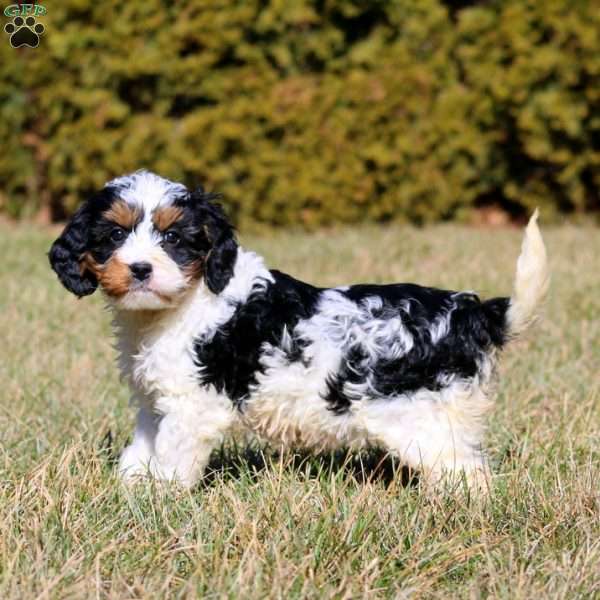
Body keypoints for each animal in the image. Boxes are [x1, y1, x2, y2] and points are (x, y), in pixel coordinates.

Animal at [49, 171, 552, 490]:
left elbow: (172, 459)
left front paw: (160, 499)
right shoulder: (155, 403)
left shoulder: (193, 407)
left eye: (173, 238)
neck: (189, 298)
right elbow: (142, 450)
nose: (140, 269)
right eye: (114, 236)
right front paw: (130, 489)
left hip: (422, 418)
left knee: (468, 475)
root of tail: (471, 311)